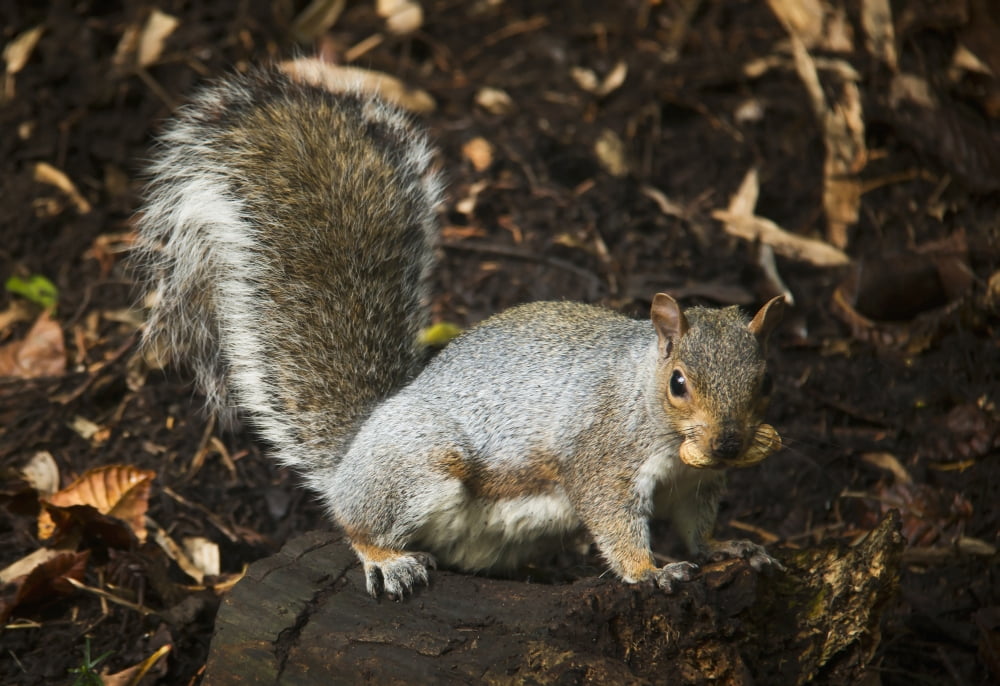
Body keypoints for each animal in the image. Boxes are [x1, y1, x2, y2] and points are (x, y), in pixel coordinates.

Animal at [133, 61, 786, 599]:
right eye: (678, 382)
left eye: (767, 381)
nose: (728, 445)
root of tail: (353, 455)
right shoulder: (602, 455)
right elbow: (613, 518)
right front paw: (650, 571)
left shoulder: (695, 485)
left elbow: (699, 528)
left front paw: (728, 547)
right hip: (420, 468)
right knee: (355, 521)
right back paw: (387, 559)